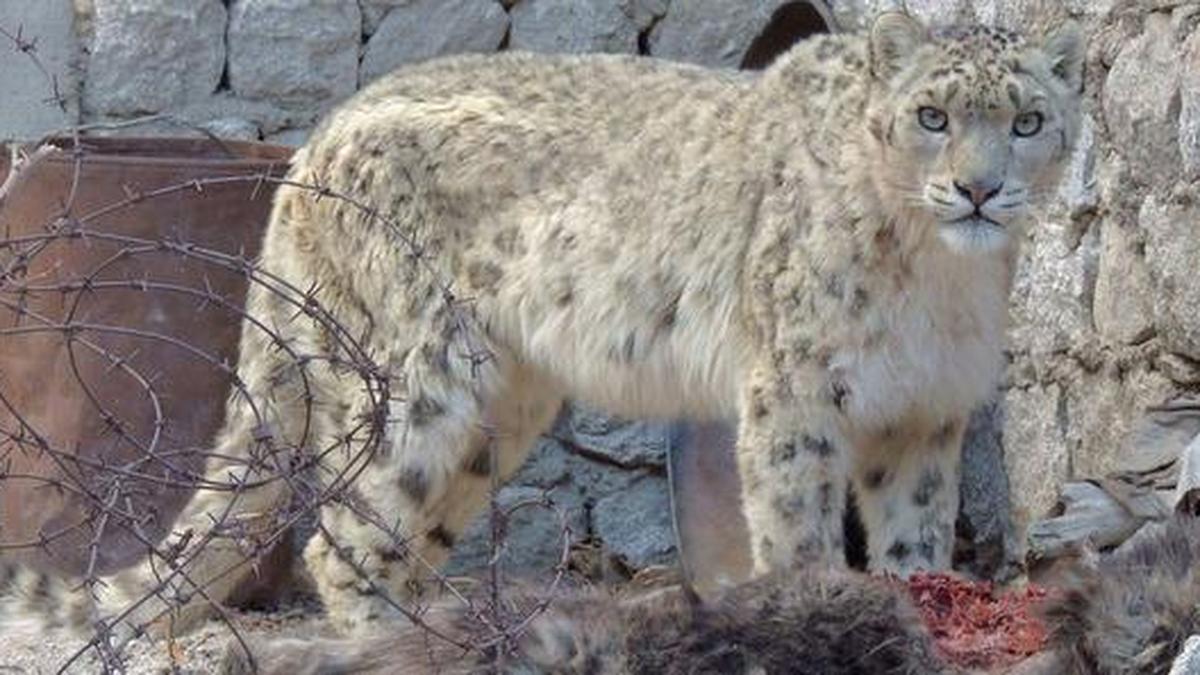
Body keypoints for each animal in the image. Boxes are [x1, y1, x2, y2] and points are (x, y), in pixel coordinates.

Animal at [0, 9, 1084, 655]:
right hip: (423, 378)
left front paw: (920, 603)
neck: (943, 280)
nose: (980, 189)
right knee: (339, 535)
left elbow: (915, 533)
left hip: (498, 408)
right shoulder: (797, 389)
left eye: (1029, 122)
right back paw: (395, 644)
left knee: (399, 531)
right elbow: (799, 525)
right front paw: (819, 610)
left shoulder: (925, 411)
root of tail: (314, 143)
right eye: (932, 115)